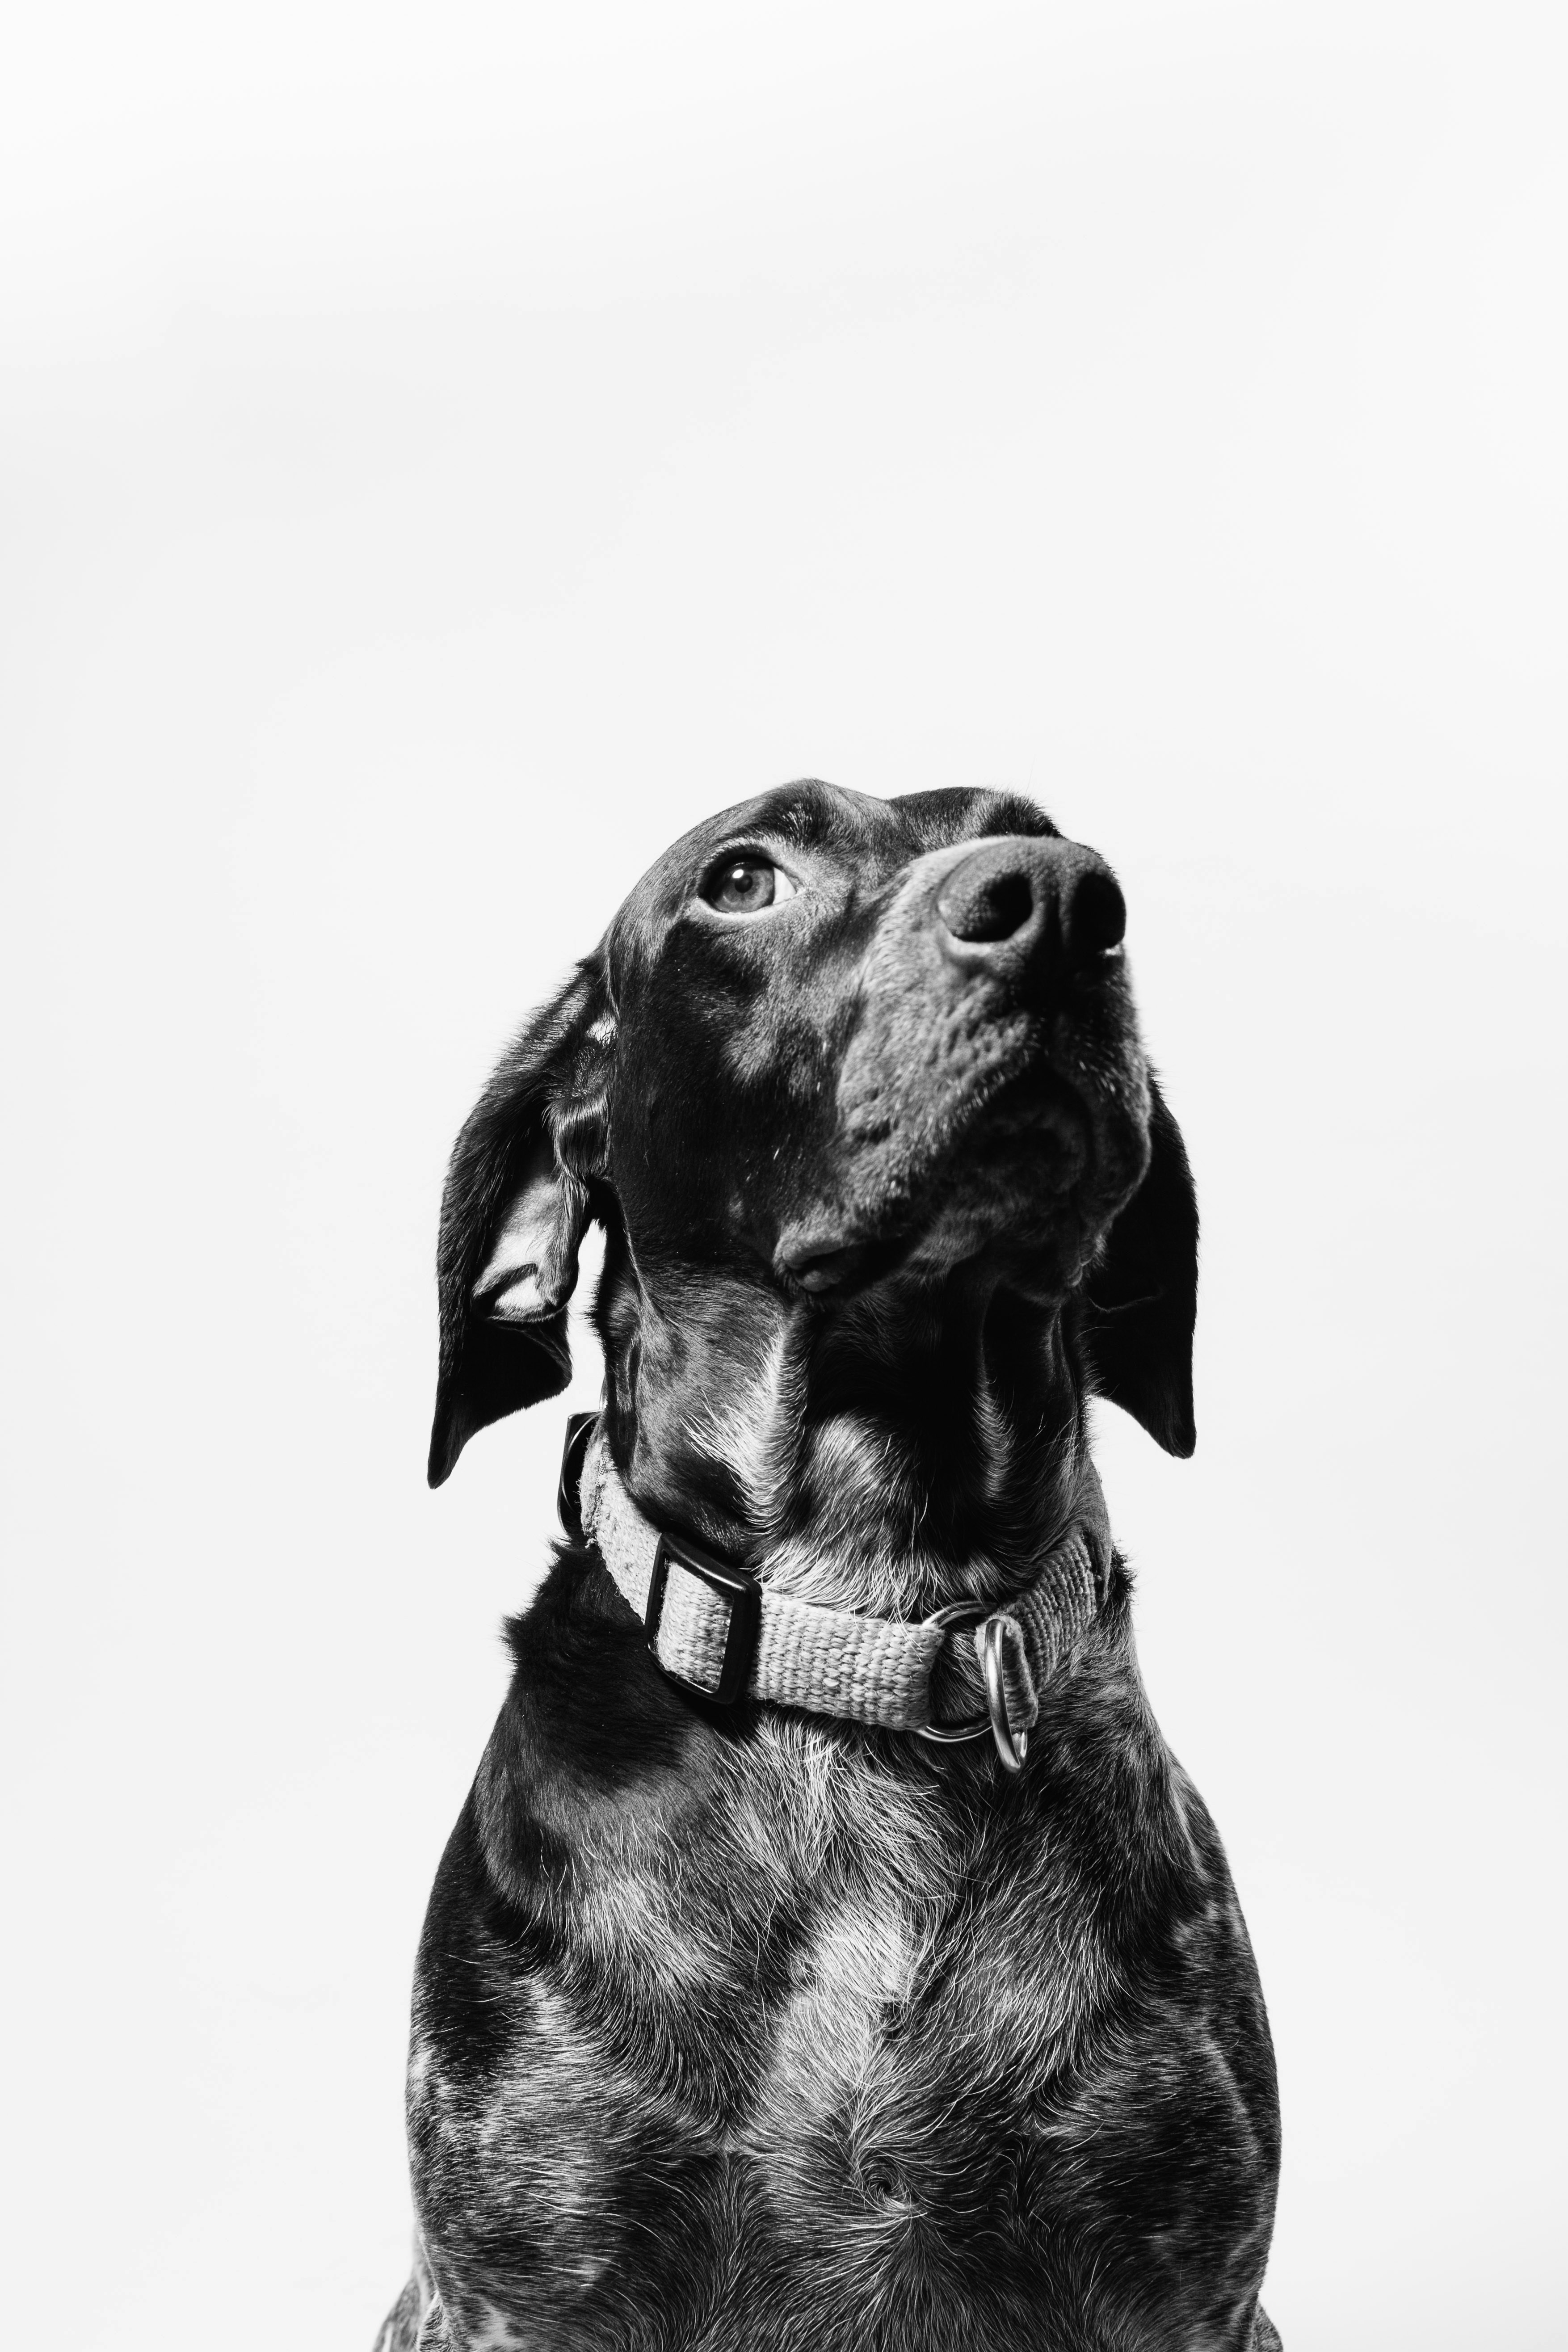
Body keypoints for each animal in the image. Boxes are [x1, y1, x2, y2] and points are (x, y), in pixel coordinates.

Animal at [383, 781, 1288, 2342]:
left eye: (1033, 820)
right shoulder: (510, 2281)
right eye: (742, 877)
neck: (864, 1619)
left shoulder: (1183, 2281)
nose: (1065, 900)